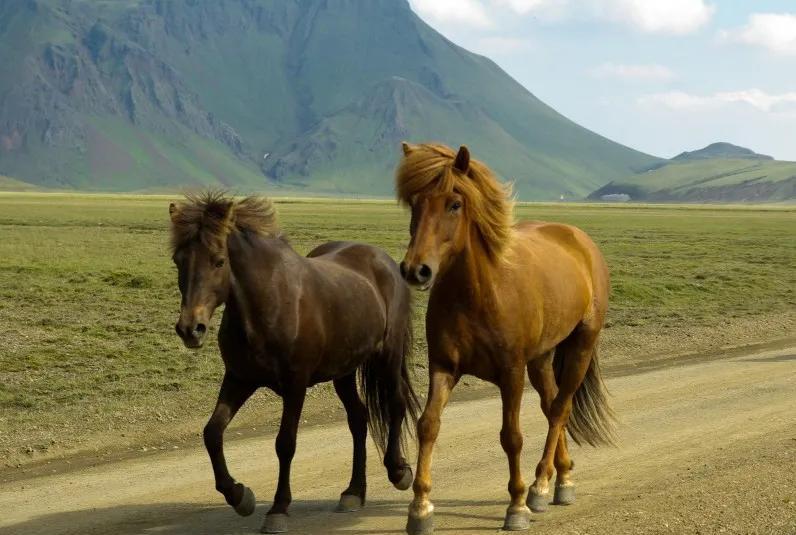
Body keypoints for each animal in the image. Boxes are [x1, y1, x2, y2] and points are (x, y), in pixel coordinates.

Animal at [166, 195, 416, 532]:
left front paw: (278, 508)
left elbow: (285, 444)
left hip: (388, 355)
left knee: (395, 404)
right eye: (178, 260)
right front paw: (239, 496)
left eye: (218, 261)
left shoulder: (295, 385)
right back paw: (354, 492)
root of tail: (383, 260)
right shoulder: (238, 379)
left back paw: (398, 472)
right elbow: (212, 433)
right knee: (358, 419)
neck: (267, 305)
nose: (191, 329)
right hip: (344, 371)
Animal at [398, 144, 616, 532]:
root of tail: (580, 239)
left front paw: (517, 505)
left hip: (580, 346)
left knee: (560, 408)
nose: (415, 270)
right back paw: (562, 478)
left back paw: (541, 485)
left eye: (455, 204)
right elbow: (428, 426)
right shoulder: (443, 367)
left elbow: (511, 437)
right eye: (415, 203)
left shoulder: (511, 373)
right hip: (541, 359)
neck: (477, 293)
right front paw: (420, 507)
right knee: (551, 405)